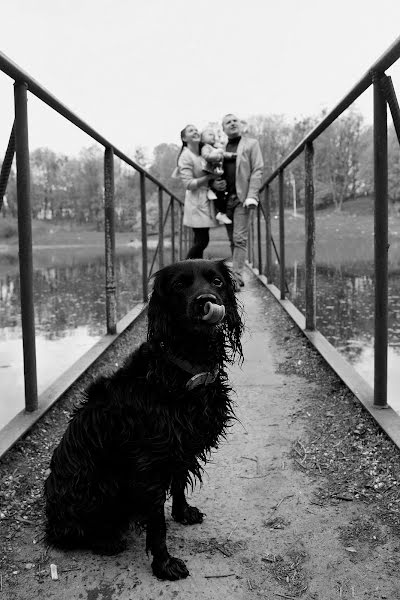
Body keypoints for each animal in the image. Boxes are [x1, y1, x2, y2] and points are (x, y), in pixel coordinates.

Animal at [43, 258, 244, 580]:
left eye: (217, 282)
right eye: (179, 285)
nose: (206, 301)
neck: (184, 369)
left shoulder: (180, 447)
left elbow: (179, 483)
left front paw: (182, 512)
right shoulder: (149, 463)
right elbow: (158, 524)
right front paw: (164, 564)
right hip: (101, 483)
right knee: (71, 532)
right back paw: (107, 540)